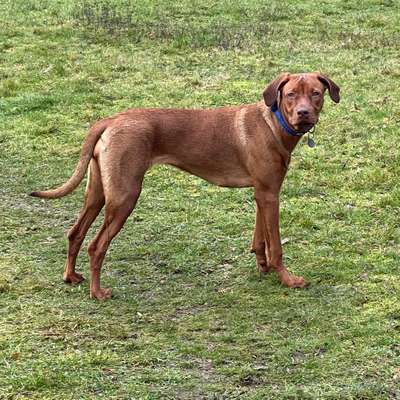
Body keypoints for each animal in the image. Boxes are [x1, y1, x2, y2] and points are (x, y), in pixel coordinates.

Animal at [29, 72, 340, 298]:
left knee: (75, 233)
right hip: (124, 196)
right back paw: (98, 293)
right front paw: (287, 278)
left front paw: (262, 266)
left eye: (315, 93)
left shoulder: (262, 193)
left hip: (98, 193)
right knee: (96, 245)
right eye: (291, 95)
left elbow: (259, 237)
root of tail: (109, 120)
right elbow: (276, 246)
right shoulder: (269, 194)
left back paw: (71, 276)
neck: (274, 123)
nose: (304, 113)